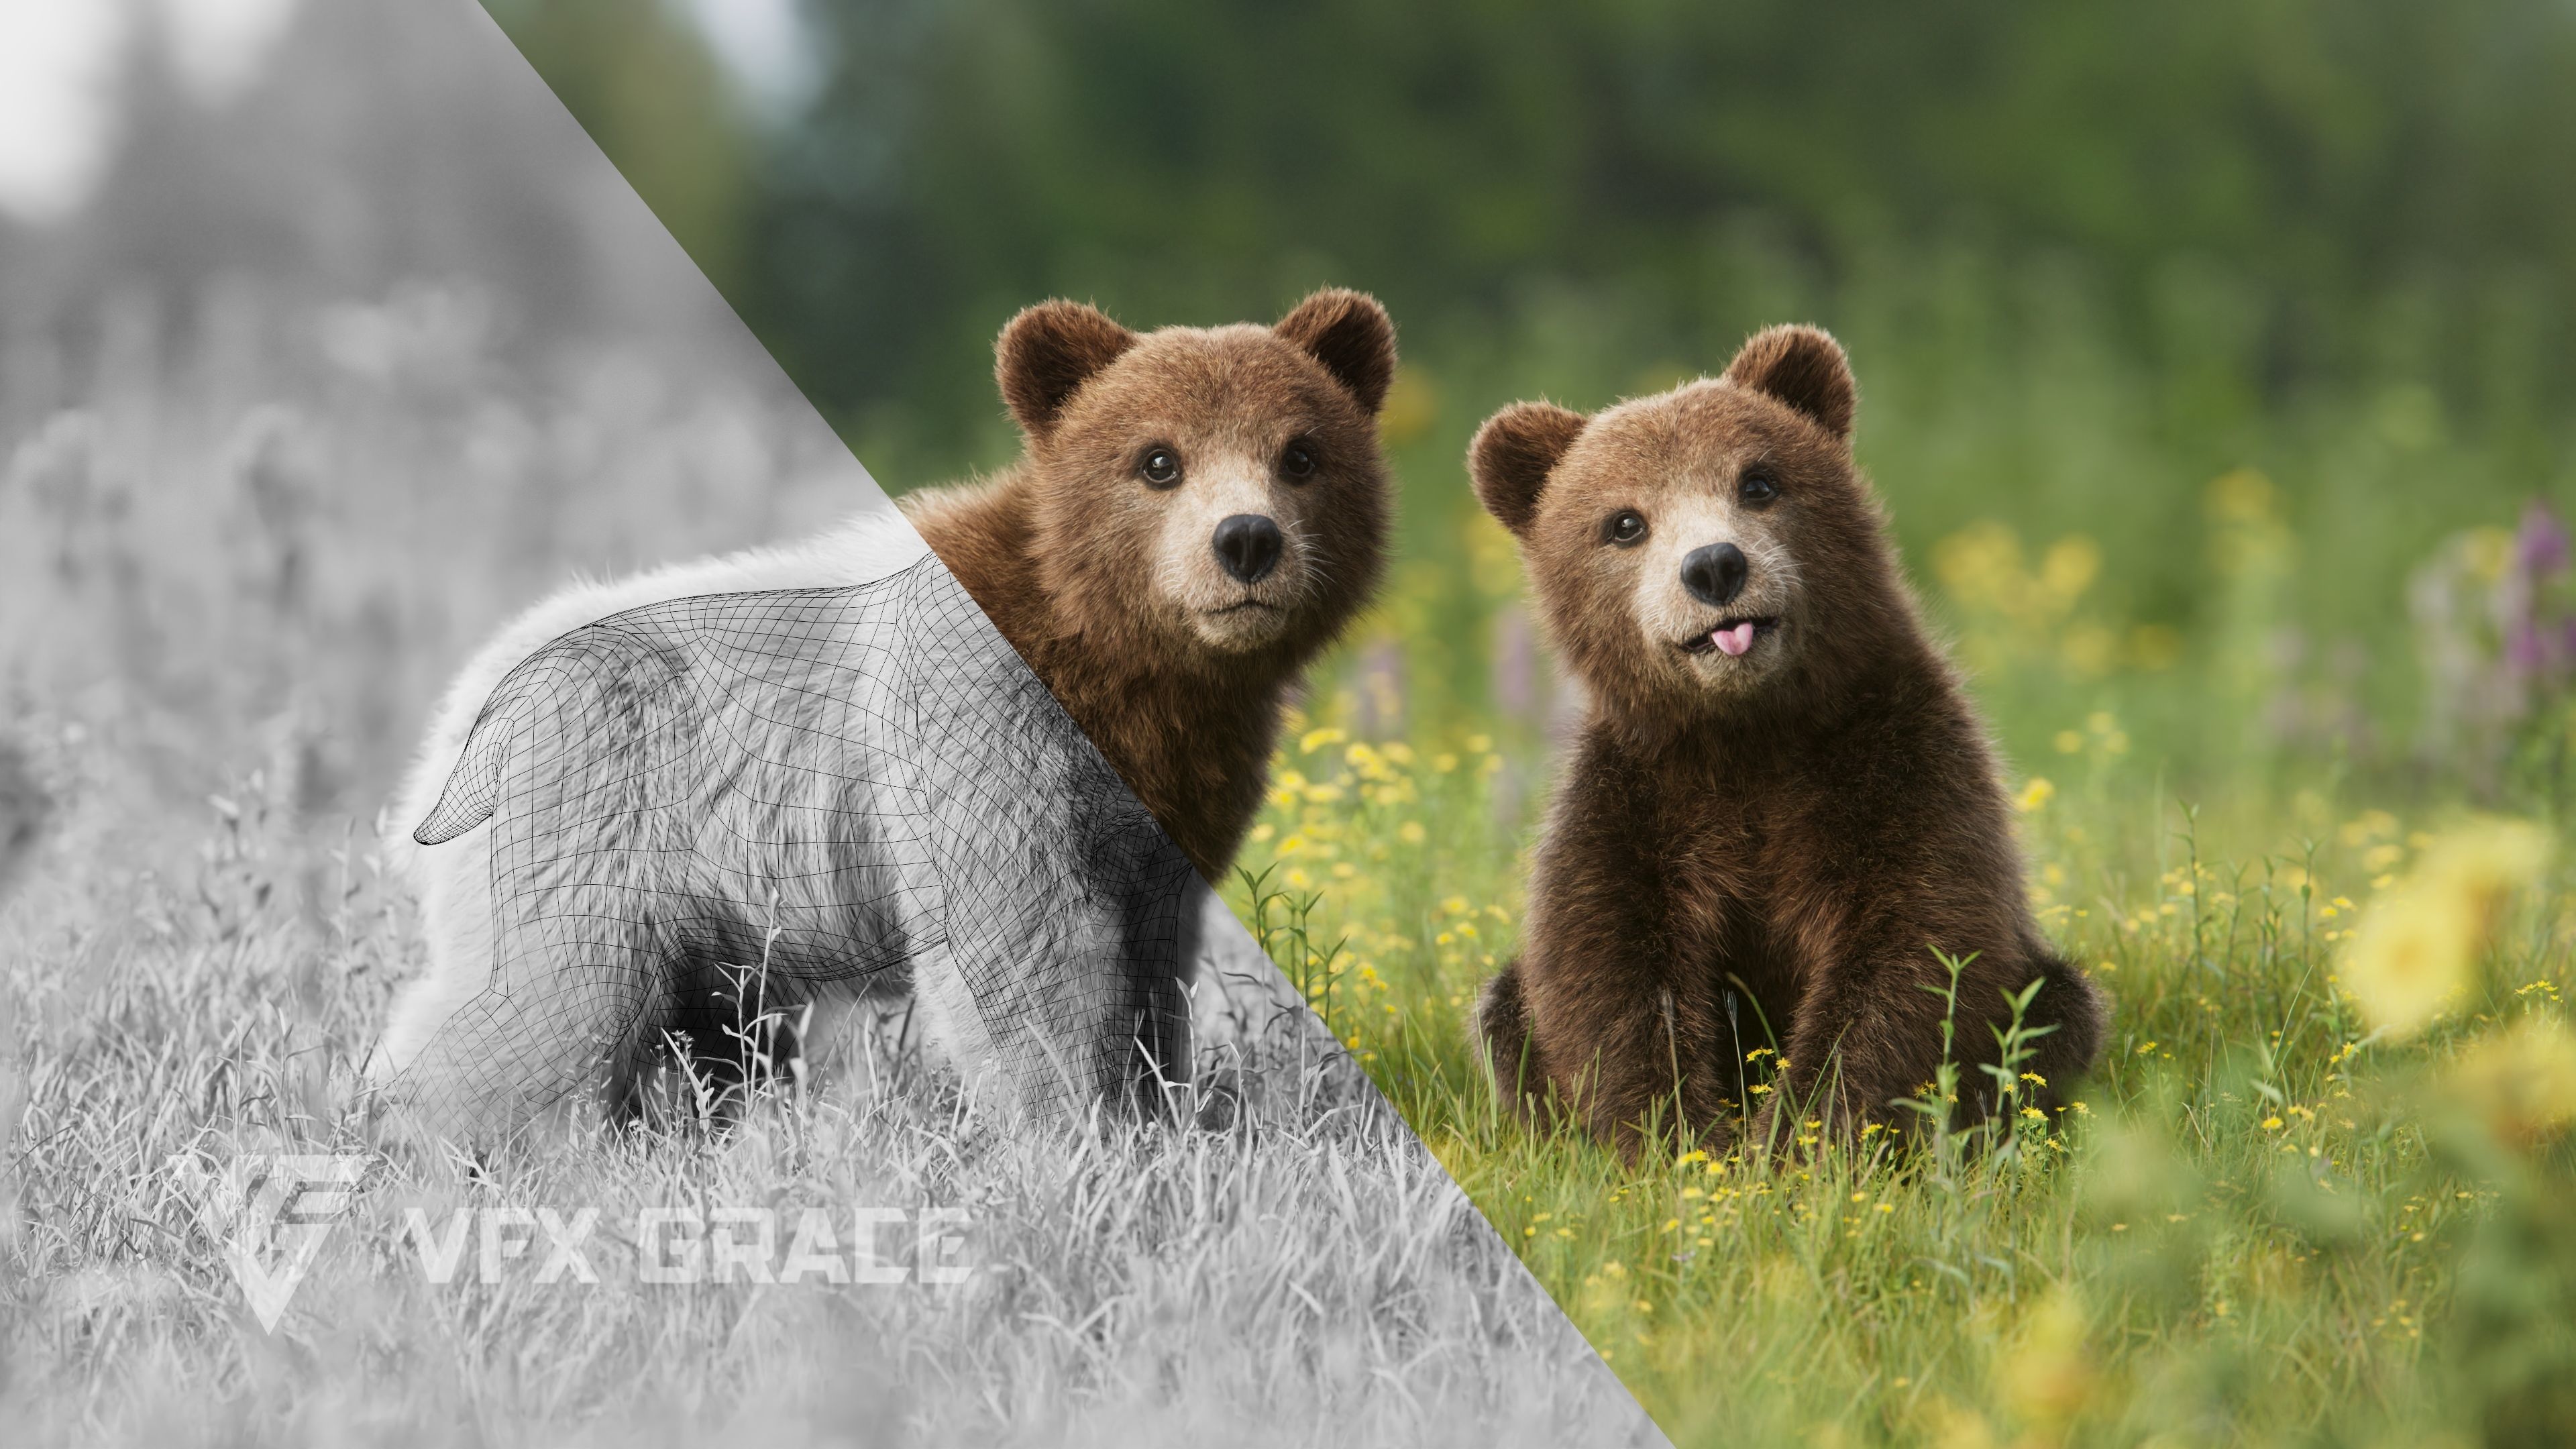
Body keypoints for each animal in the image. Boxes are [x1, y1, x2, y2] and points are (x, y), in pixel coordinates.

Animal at [370, 547, 1200, 1145]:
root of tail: (483, 719)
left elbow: (1151, 953)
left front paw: (1158, 1118)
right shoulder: (978, 738)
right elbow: (1032, 942)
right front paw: (1086, 1141)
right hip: (601, 832)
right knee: (561, 999)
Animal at [1465, 325, 2107, 1158]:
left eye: (1759, 481)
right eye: (1625, 522)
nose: (1713, 566)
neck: (1751, 733)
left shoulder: (1900, 761)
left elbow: (1915, 944)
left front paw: (1802, 1135)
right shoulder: (1637, 798)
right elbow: (1607, 965)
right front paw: (1677, 1137)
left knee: (2055, 1014)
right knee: (1504, 1014)